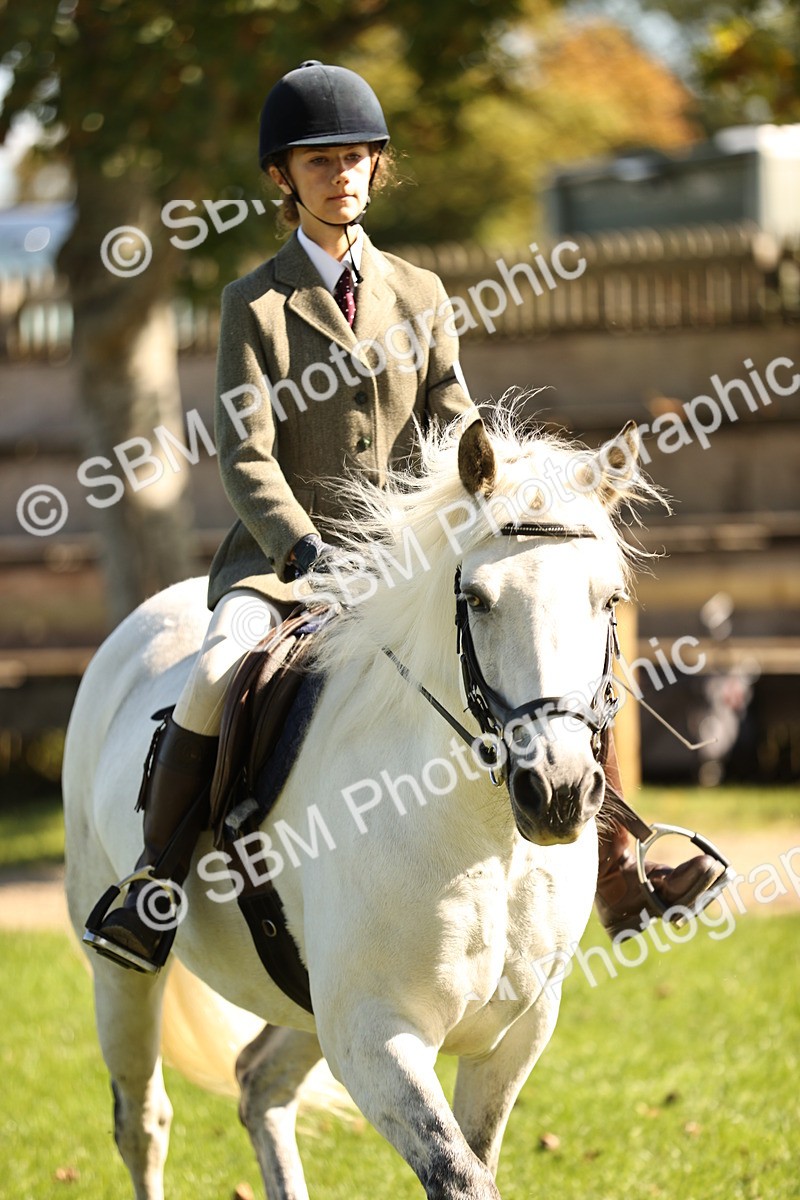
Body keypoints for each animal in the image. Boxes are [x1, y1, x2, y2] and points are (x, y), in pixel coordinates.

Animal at [63, 414, 654, 1200]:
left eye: (609, 598)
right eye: (477, 599)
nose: (556, 792)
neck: (486, 842)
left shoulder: (512, 1037)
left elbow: (478, 1159)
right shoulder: (376, 1037)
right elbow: (461, 1176)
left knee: (258, 1085)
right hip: (122, 977)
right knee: (143, 1121)